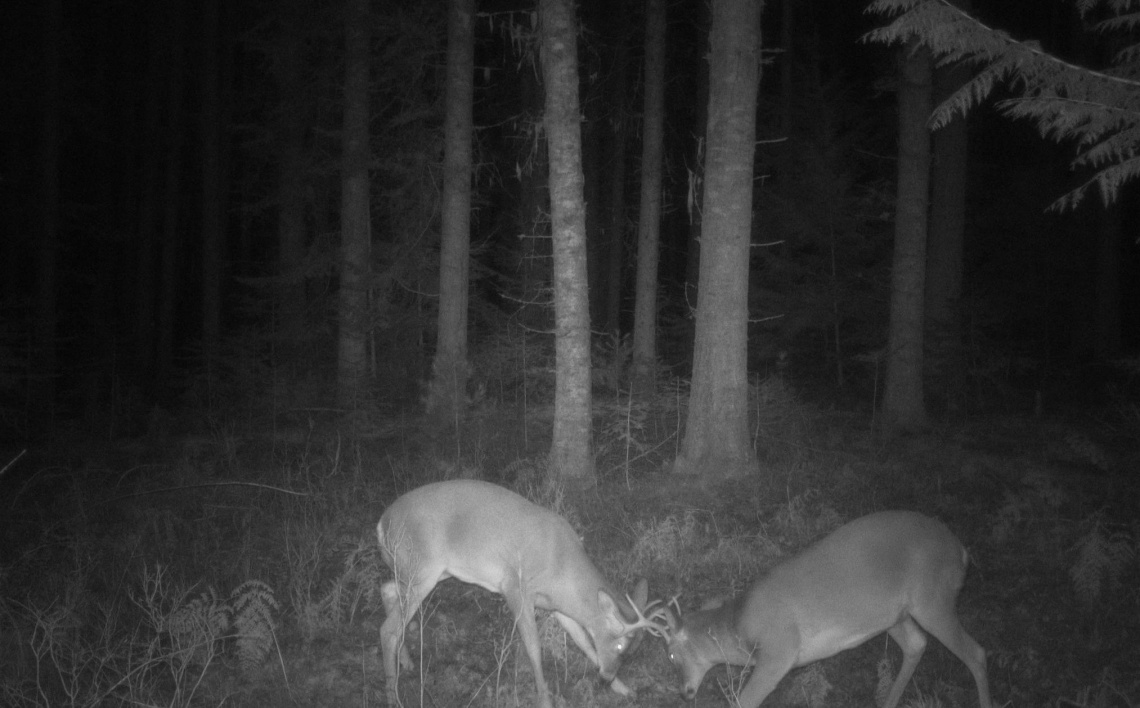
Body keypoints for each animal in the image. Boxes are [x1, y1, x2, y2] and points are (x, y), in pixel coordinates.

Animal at [375, 479, 659, 708]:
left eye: (632, 650)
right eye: (621, 644)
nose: (607, 676)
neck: (561, 567)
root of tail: (382, 523)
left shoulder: (556, 605)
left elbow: (583, 641)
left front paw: (624, 689)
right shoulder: (515, 586)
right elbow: (534, 647)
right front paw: (545, 700)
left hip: (423, 572)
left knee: (387, 591)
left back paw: (407, 662)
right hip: (422, 569)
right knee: (388, 629)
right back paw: (392, 696)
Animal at [642, 510, 992, 708]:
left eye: (670, 655)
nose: (684, 693)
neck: (738, 625)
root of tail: (961, 551)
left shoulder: (779, 650)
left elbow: (744, 701)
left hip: (932, 597)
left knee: (976, 652)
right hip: (892, 612)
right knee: (917, 644)